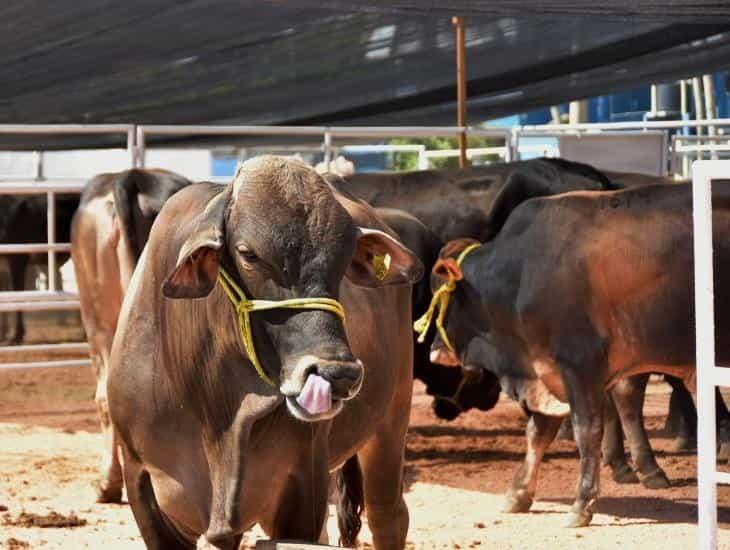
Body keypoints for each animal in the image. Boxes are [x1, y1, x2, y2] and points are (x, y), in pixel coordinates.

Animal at [106, 156, 420, 550]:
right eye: (248, 254)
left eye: (345, 258)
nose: (337, 372)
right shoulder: (142, 483)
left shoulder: (303, 482)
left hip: (392, 419)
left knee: (388, 515)